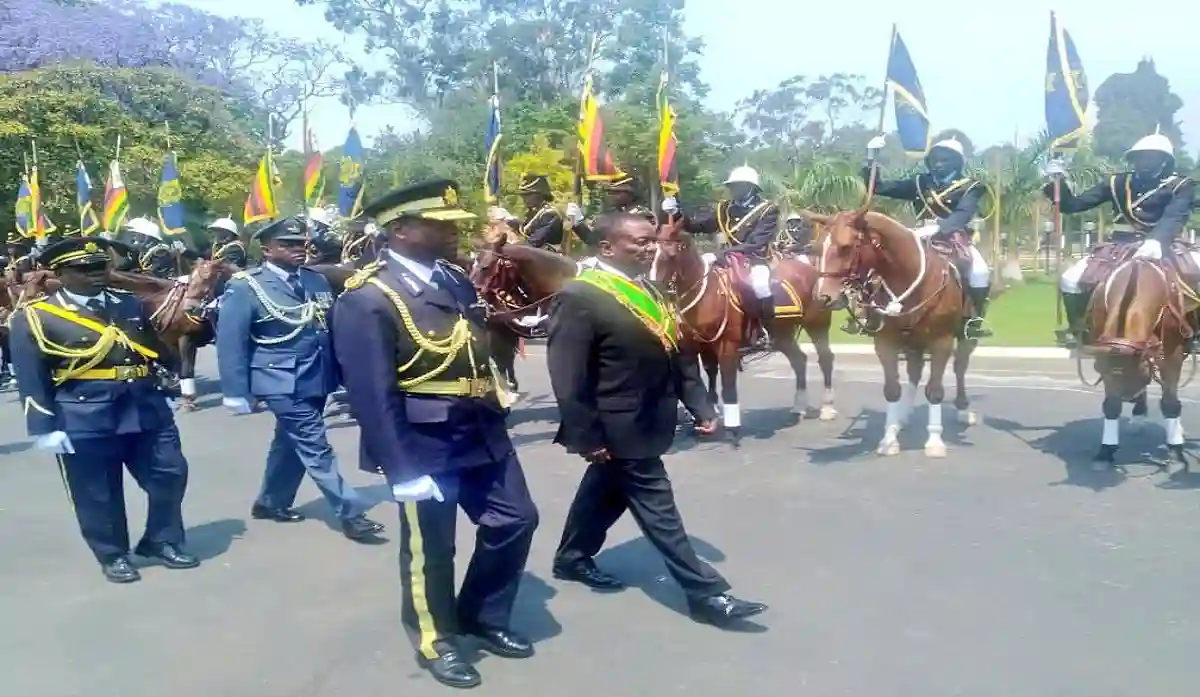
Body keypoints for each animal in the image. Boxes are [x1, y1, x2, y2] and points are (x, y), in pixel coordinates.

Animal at [652, 217, 840, 446]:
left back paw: (827, 408)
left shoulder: (727, 346)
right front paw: (708, 417)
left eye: (668, 255)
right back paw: (799, 407)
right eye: (649, 250)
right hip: (783, 335)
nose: (651, 285)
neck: (707, 292)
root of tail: (811, 270)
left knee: (825, 359)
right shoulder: (703, 345)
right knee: (799, 360)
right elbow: (710, 376)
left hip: (817, 326)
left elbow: (727, 384)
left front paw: (732, 428)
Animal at [806, 207, 984, 455]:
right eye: (817, 248)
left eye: (846, 247)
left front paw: (935, 442)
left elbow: (935, 390)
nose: (822, 297)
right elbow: (892, 389)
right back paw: (904, 415)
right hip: (913, 342)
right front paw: (889, 439)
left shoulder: (942, 341)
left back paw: (962, 410)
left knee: (960, 366)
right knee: (915, 372)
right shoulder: (885, 342)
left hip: (966, 335)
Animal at [1080, 256, 1190, 472]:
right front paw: (1106, 451)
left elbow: (1170, 402)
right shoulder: (1104, 355)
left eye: (1140, 372)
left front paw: (1175, 452)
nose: (1129, 395)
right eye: (1101, 369)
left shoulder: (1171, 354)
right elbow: (1111, 405)